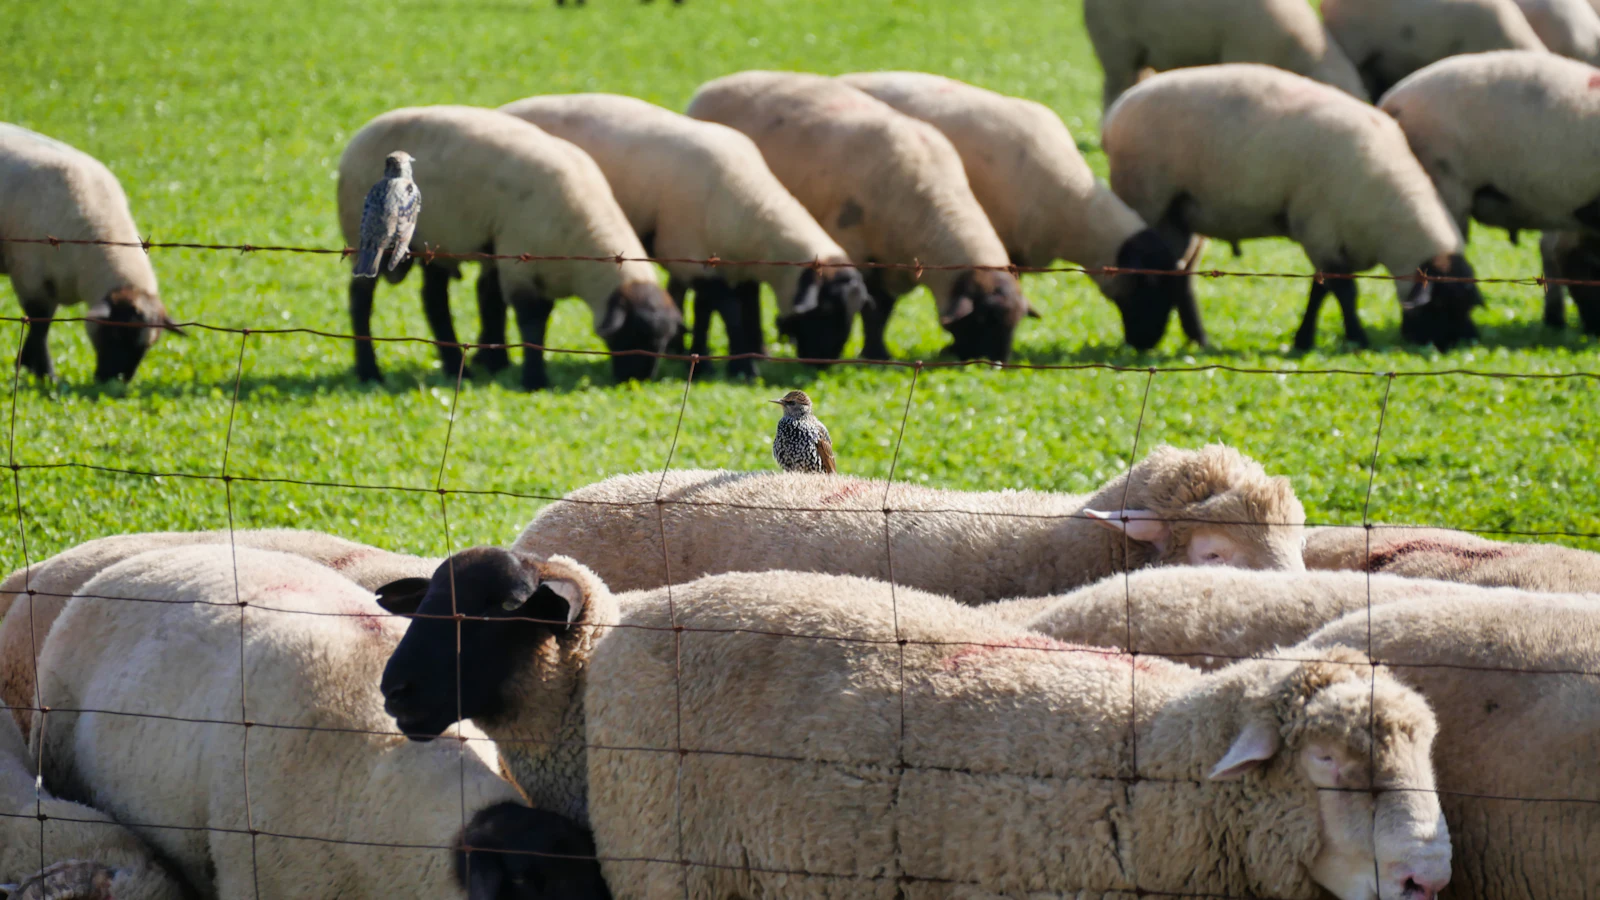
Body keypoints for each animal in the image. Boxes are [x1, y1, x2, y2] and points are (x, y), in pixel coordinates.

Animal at [0, 124, 181, 383]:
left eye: (147, 346)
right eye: (116, 335)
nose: (116, 381)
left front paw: (29, 366)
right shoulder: (31, 277)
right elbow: (40, 325)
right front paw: (45, 373)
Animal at [338, 106, 681, 390]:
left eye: (664, 342)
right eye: (634, 336)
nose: (636, 382)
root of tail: (358, 137)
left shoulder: (514, 258)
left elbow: (496, 305)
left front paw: (497, 362)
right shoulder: (521, 263)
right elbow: (530, 322)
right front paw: (533, 379)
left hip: (438, 243)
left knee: (434, 300)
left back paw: (454, 366)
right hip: (364, 237)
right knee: (360, 300)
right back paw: (369, 370)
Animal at [498, 94, 869, 379]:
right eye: (826, 310)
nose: (823, 366)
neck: (750, 206)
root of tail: (505, 109)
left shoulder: (726, 262)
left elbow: (720, 309)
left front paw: (709, 358)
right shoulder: (690, 252)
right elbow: (728, 310)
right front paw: (740, 368)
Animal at [686, 71, 1034, 363]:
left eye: (1014, 322)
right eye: (984, 320)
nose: (996, 364)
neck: (933, 204)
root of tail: (710, 87)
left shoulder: (895, 263)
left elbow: (882, 310)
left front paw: (877, 352)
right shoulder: (857, 249)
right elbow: (873, 310)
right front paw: (874, 354)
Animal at [1103, 64, 1483, 350]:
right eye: (1445, 306)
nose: (1465, 342)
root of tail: (1119, 107)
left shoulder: (1332, 239)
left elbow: (1320, 291)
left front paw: (1305, 339)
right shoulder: (1319, 229)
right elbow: (1343, 291)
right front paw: (1356, 338)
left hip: (1179, 214)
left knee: (1178, 272)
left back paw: (1199, 339)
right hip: (1148, 198)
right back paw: (1147, 337)